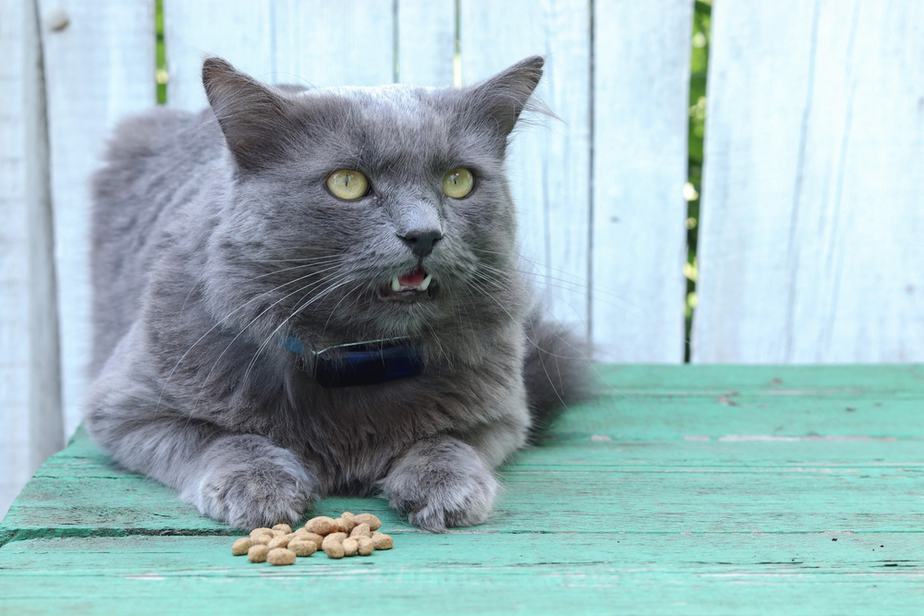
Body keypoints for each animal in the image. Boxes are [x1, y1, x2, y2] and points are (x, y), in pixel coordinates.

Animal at [88, 55, 592, 532]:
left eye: (459, 181)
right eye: (347, 183)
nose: (424, 234)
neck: (357, 359)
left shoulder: (501, 414)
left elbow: (446, 440)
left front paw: (444, 488)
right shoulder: (128, 408)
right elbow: (224, 438)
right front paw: (260, 486)